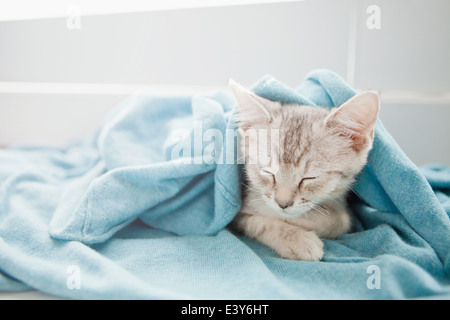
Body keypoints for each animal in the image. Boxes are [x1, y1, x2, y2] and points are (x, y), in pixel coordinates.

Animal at [229, 81, 380, 262]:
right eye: (268, 172)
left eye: (310, 177)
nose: (282, 203)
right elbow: (257, 221)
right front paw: (297, 240)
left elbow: (341, 219)